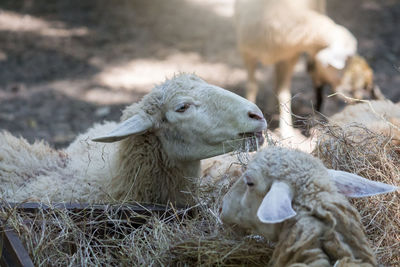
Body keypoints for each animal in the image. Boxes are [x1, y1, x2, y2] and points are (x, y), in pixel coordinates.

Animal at [236, 0, 382, 138]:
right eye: (346, 59)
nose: (356, 95)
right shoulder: (247, 54)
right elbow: (252, 87)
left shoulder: (289, 58)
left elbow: (284, 94)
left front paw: (286, 131)